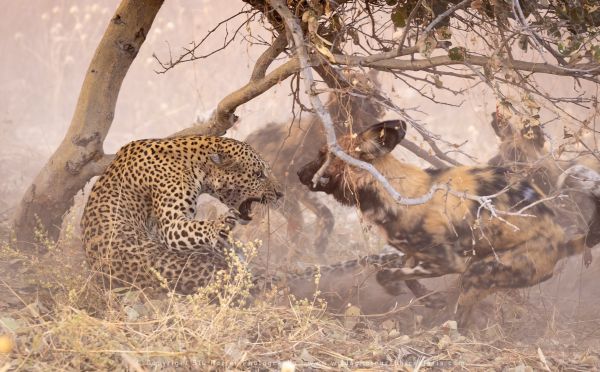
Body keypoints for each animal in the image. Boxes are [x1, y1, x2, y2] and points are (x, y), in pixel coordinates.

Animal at [80, 135, 284, 294]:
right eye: (258, 174)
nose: (281, 193)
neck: (196, 162)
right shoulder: (171, 228)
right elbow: (199, 227)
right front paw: (221, 225)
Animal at [298, 119, 588, 326]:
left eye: (323, 154)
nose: (299, 172)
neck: (392, 192)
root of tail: (561, 239)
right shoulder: (413, 255)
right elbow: (404, 276)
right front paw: (430, 299)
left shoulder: (447, 262)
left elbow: (386, 273)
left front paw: (397, 288)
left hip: (476, 273)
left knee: (460, 321)